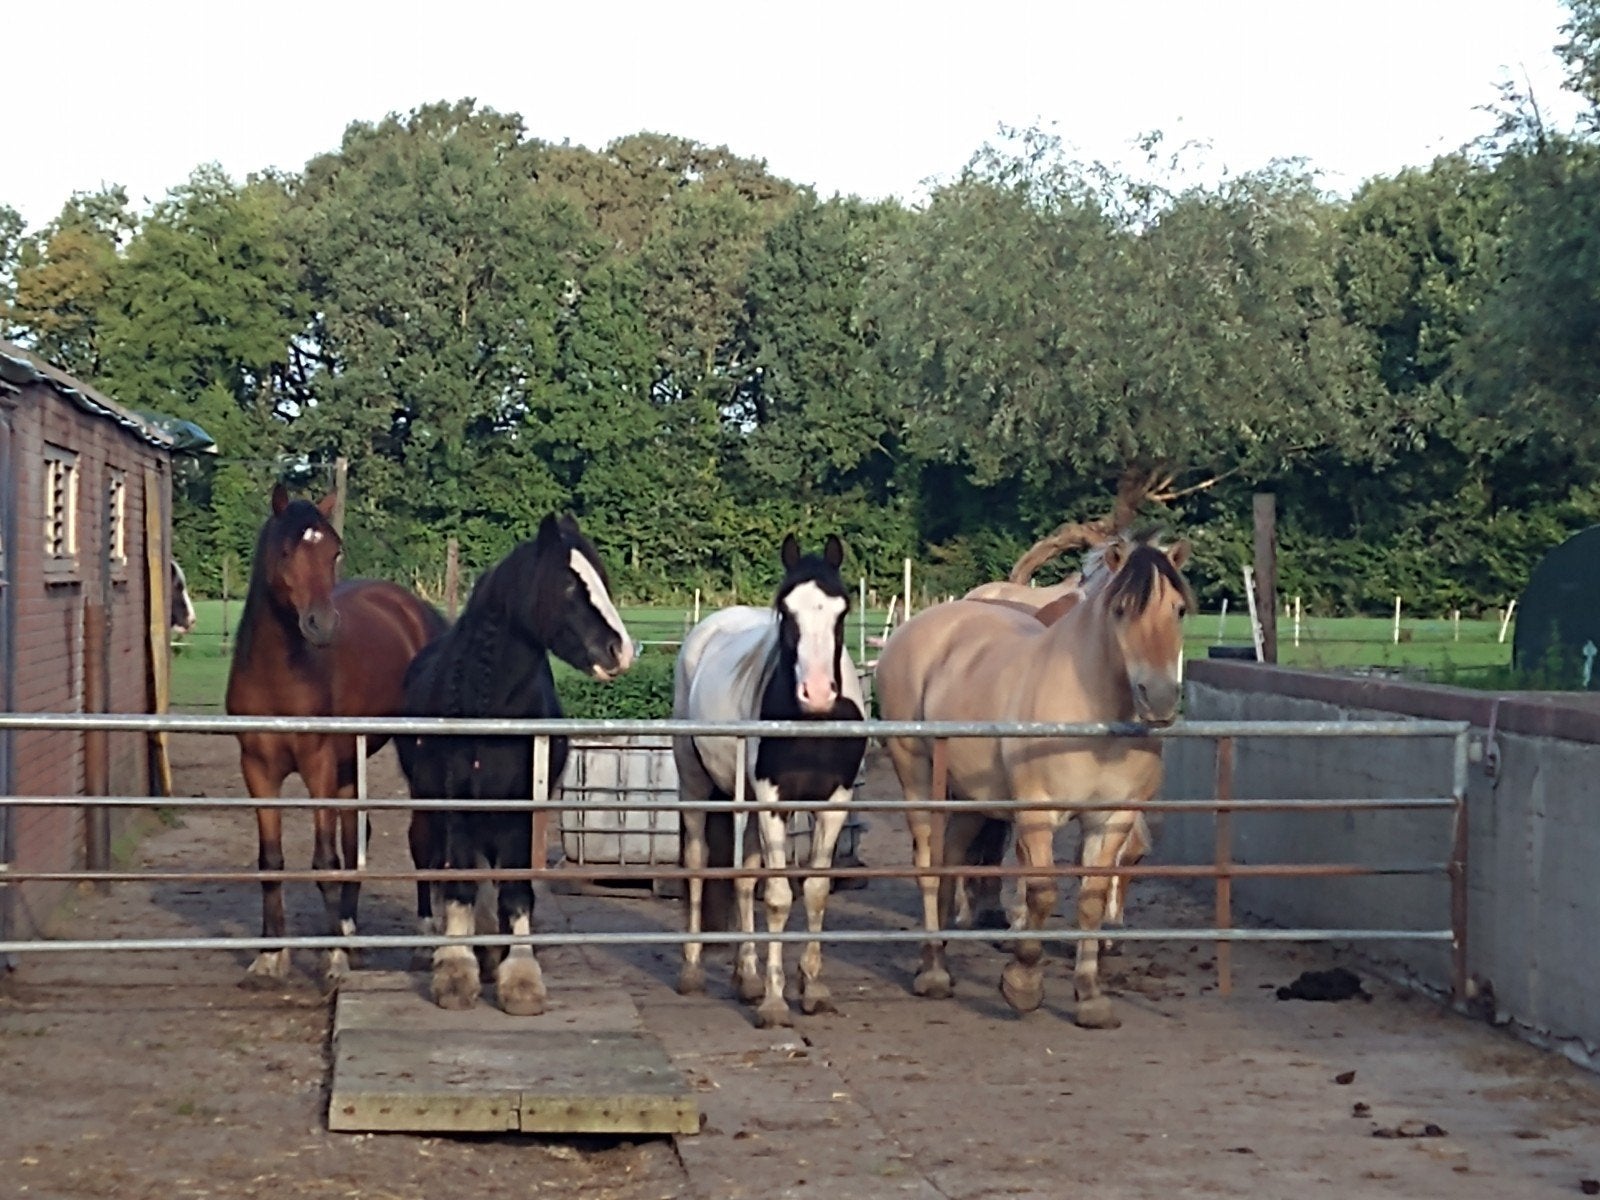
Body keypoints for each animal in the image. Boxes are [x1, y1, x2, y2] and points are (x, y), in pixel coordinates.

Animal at [225, 484, 447, 988]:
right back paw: (350, 934)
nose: (322, 624)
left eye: (334, 551)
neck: (278, 675)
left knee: (420, 836)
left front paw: (332, 961)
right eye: (287, 550)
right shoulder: (257, 769)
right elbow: (271, 860)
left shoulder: (317, 765)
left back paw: (422, 943)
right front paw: (270, 957)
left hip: (409, 753)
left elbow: (324, 860)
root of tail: (417, 609)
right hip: (348, 766)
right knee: (355, 836)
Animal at [396, 513, 634, 1015]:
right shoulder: (457, 807)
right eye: (568, 584)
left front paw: (520, 978)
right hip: (428, 805)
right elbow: (460, 886)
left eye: (603, 579)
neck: (489, 711)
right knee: (428, 859)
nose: (620, 651)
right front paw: (456, 973)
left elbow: (516, 891)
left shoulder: (523, 812)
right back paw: (431, 943)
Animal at [673, 534, 867, 1028]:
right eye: (786, 609)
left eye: (842, 609)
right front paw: (777, 1002)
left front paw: (811, 988)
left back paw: (747, 978)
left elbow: (815, 892)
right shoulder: (771, 799)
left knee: (744, 879)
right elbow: (779, 897)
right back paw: (693, 971)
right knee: (698, 863)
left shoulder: (834, 803)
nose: (816, 692)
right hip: (696, 784)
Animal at [874, 532, 1191, 1028]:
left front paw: (1090, 997)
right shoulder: (1037, 814)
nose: (1158, 698)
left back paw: (939, 954)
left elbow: (1090, 898)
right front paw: (1022, 982)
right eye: (1120, 609)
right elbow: (1041, 892)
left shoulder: (1112, 819)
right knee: (928, 862)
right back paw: (935, 974)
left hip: (972, 798)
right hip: (918, 776)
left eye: (1178, 609)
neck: (1092, 714)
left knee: (952, 858)